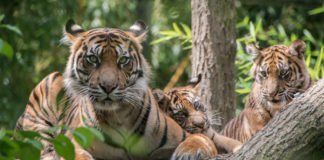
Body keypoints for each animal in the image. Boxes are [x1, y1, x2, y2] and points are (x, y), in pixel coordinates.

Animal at [16, 19, 213, 159]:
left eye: (123, 60)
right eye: (93, 59)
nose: (108, 86)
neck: (120, 116)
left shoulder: (181, 134)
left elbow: (201, 138)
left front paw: (190, 152)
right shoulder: (74, 144)